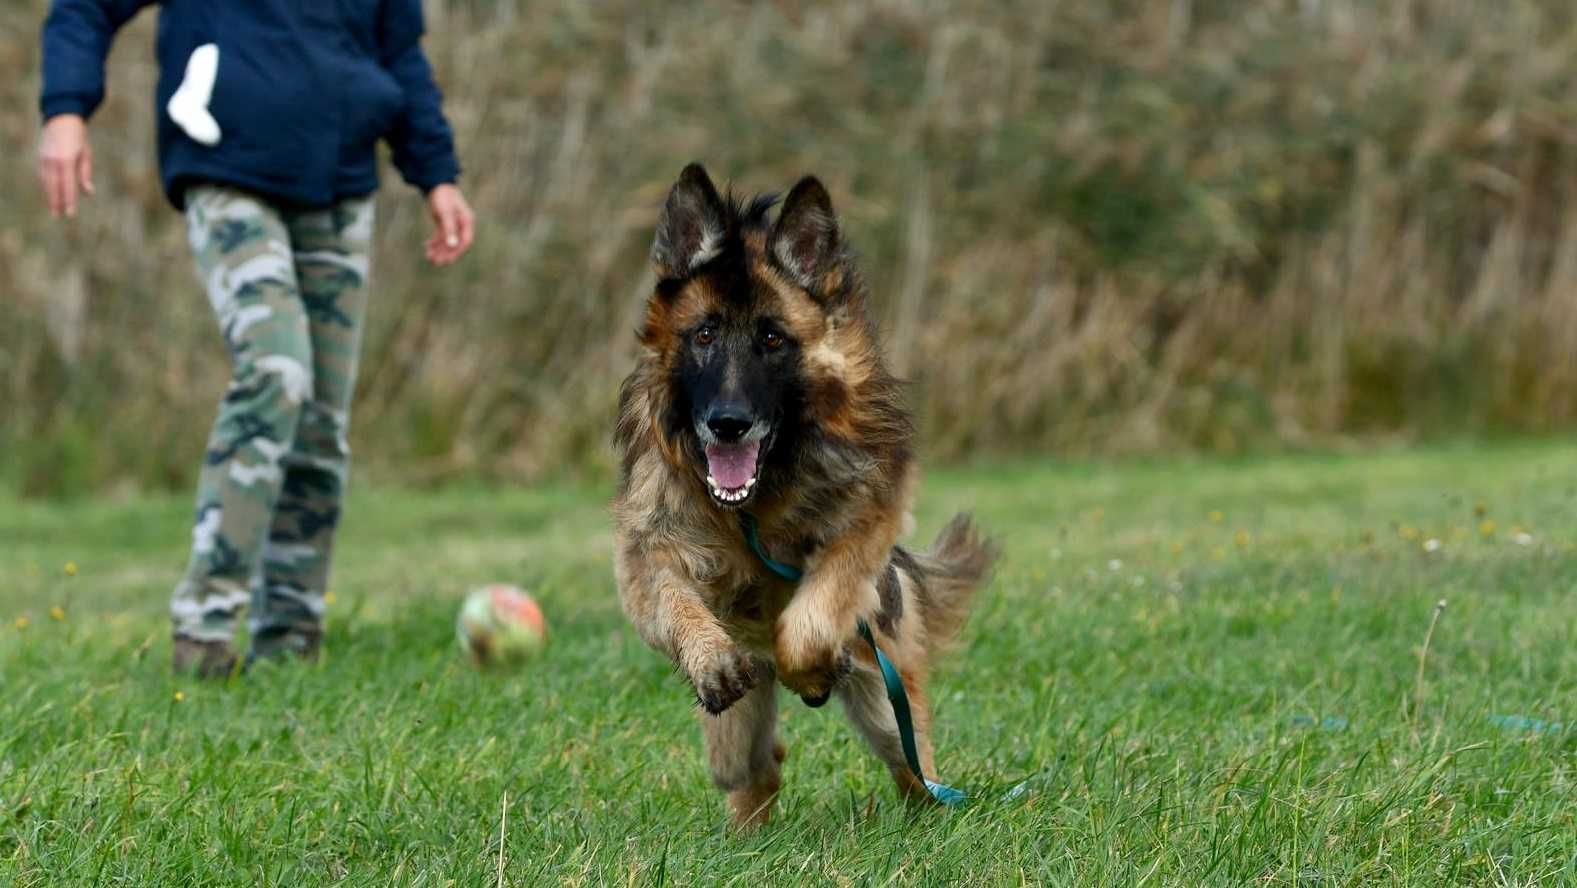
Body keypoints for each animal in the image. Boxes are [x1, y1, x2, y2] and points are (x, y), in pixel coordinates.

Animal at [608, 163, 990, 832]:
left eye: (772, 338)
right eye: (704, 334)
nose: (728, 424)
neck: (753, 504)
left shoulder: (867, 519)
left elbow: (816, 612)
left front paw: (810, 665)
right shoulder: (647, 548)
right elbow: (671, 594)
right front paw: (709, 656)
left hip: (888, 707)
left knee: (911, 763)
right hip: (735, 730)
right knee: (746, 766)